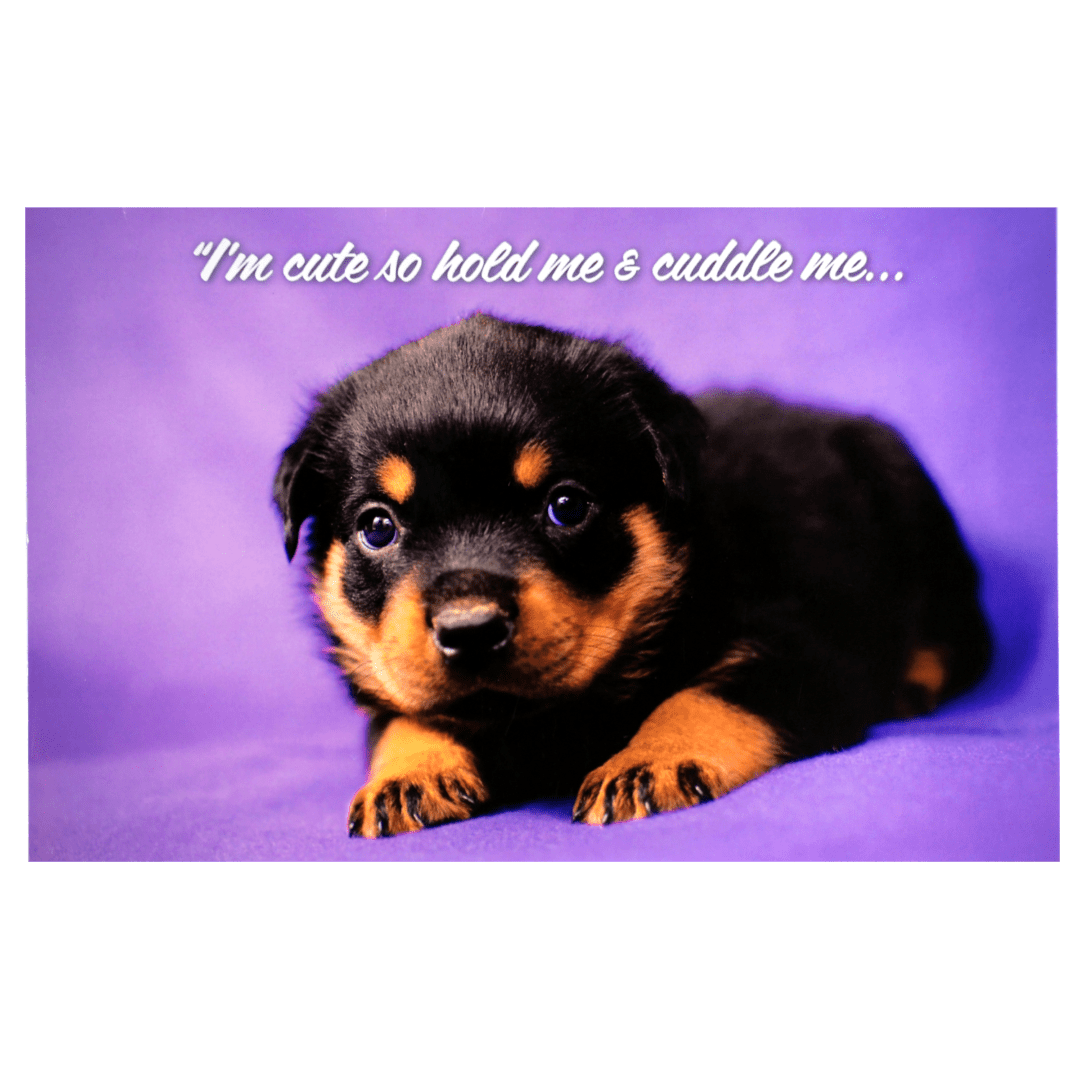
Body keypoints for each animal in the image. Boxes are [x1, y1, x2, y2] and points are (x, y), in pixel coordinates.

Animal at [274, 313, 989, 833]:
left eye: (566, 506)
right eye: (377, 527)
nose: (470, 629)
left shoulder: (805, 648)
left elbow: (709, 692)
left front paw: (649, 763)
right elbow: (399, 714)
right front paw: (405, 775)